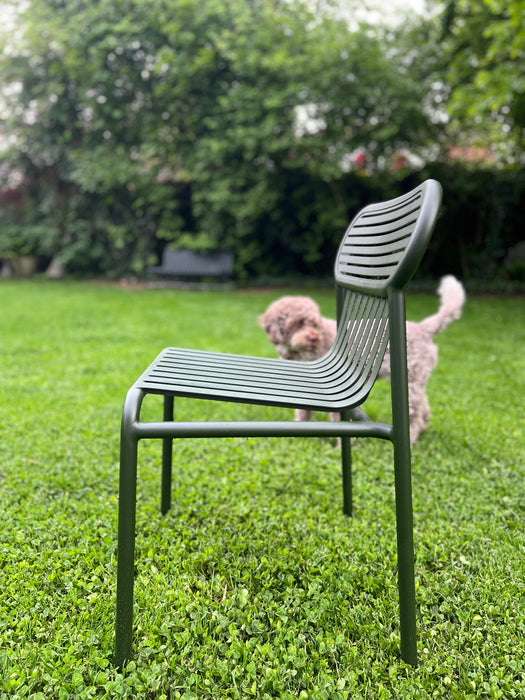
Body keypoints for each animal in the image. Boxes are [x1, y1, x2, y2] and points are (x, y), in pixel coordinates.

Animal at [258, 274, 462, 442]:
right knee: (424, 406)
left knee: (415, 415)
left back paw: (412, 438)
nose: (314, 338)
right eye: (298, 323)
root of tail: (423, 328)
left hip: (410, 383)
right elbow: (303, 413)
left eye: (314, 323)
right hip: (417, 380)